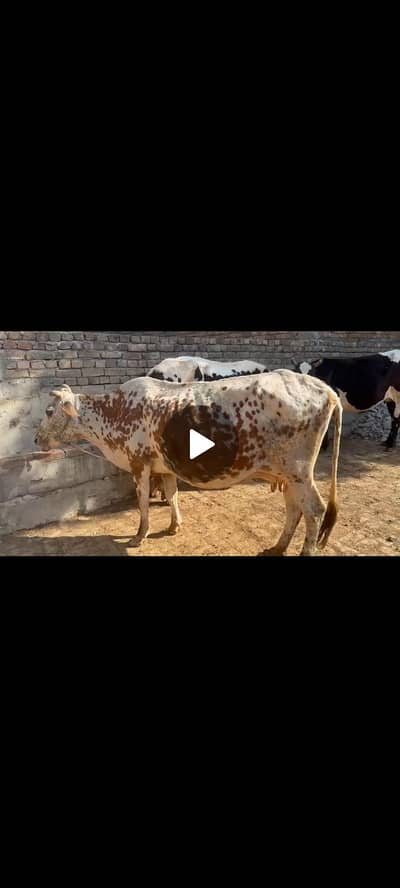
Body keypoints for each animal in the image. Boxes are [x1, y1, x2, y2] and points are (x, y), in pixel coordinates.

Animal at [34, 372, 343, 556]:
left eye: (49, 411)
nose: (37, 438)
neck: (115, 412)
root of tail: (325, 388)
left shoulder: (139, 464)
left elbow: (143, 504)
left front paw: (139, 536)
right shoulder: (165, 468)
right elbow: (172, 495)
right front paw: (174, 526)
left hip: (299, 471)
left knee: (314, 510)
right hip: (288, 475)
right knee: (294, 509)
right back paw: (277, 547)